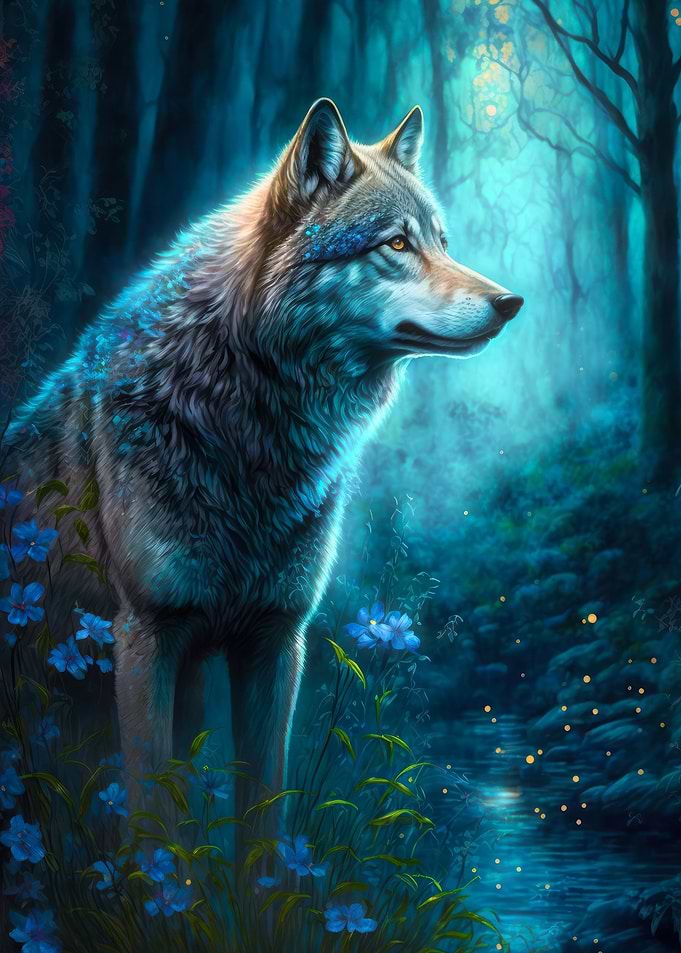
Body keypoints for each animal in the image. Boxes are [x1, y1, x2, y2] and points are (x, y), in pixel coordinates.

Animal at [1, 99, 522, 814]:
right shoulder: (146, 636)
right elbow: (152, 813)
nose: (511, 303)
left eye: (444, 242)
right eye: (396, 244)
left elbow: (263, 809)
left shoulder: (277, 639)